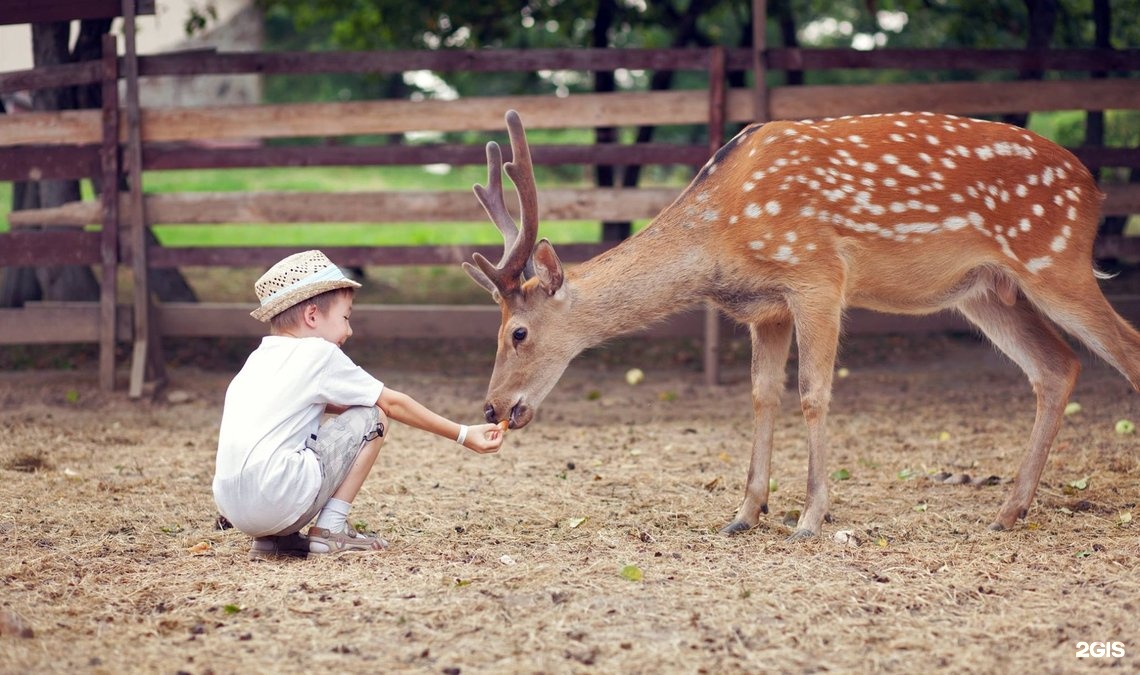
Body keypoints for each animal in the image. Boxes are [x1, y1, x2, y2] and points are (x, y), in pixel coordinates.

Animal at [462, 108, 1140, 540]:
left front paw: (811, 519)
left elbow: (814, 393)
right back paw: (1007, 511)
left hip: (1055, 258)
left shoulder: (817, 276)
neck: (721, 236)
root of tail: (1095, 189)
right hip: (984, 292)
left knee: (1126, 348)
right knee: (1058, 366)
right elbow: (763, 394)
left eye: (517, 333)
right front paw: (746, 512)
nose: (495, 407)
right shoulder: (766, 308)